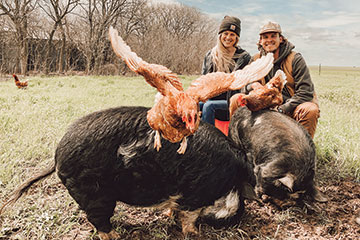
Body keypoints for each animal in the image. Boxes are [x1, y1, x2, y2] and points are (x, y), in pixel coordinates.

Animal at [2, 106, 256, 239]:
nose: (238, 218)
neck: (226, 181)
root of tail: (57, 154)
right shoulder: (195, 193)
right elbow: (189, 217)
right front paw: (194, 233)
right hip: (95, 193)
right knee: (97, 219)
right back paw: (115, 236)